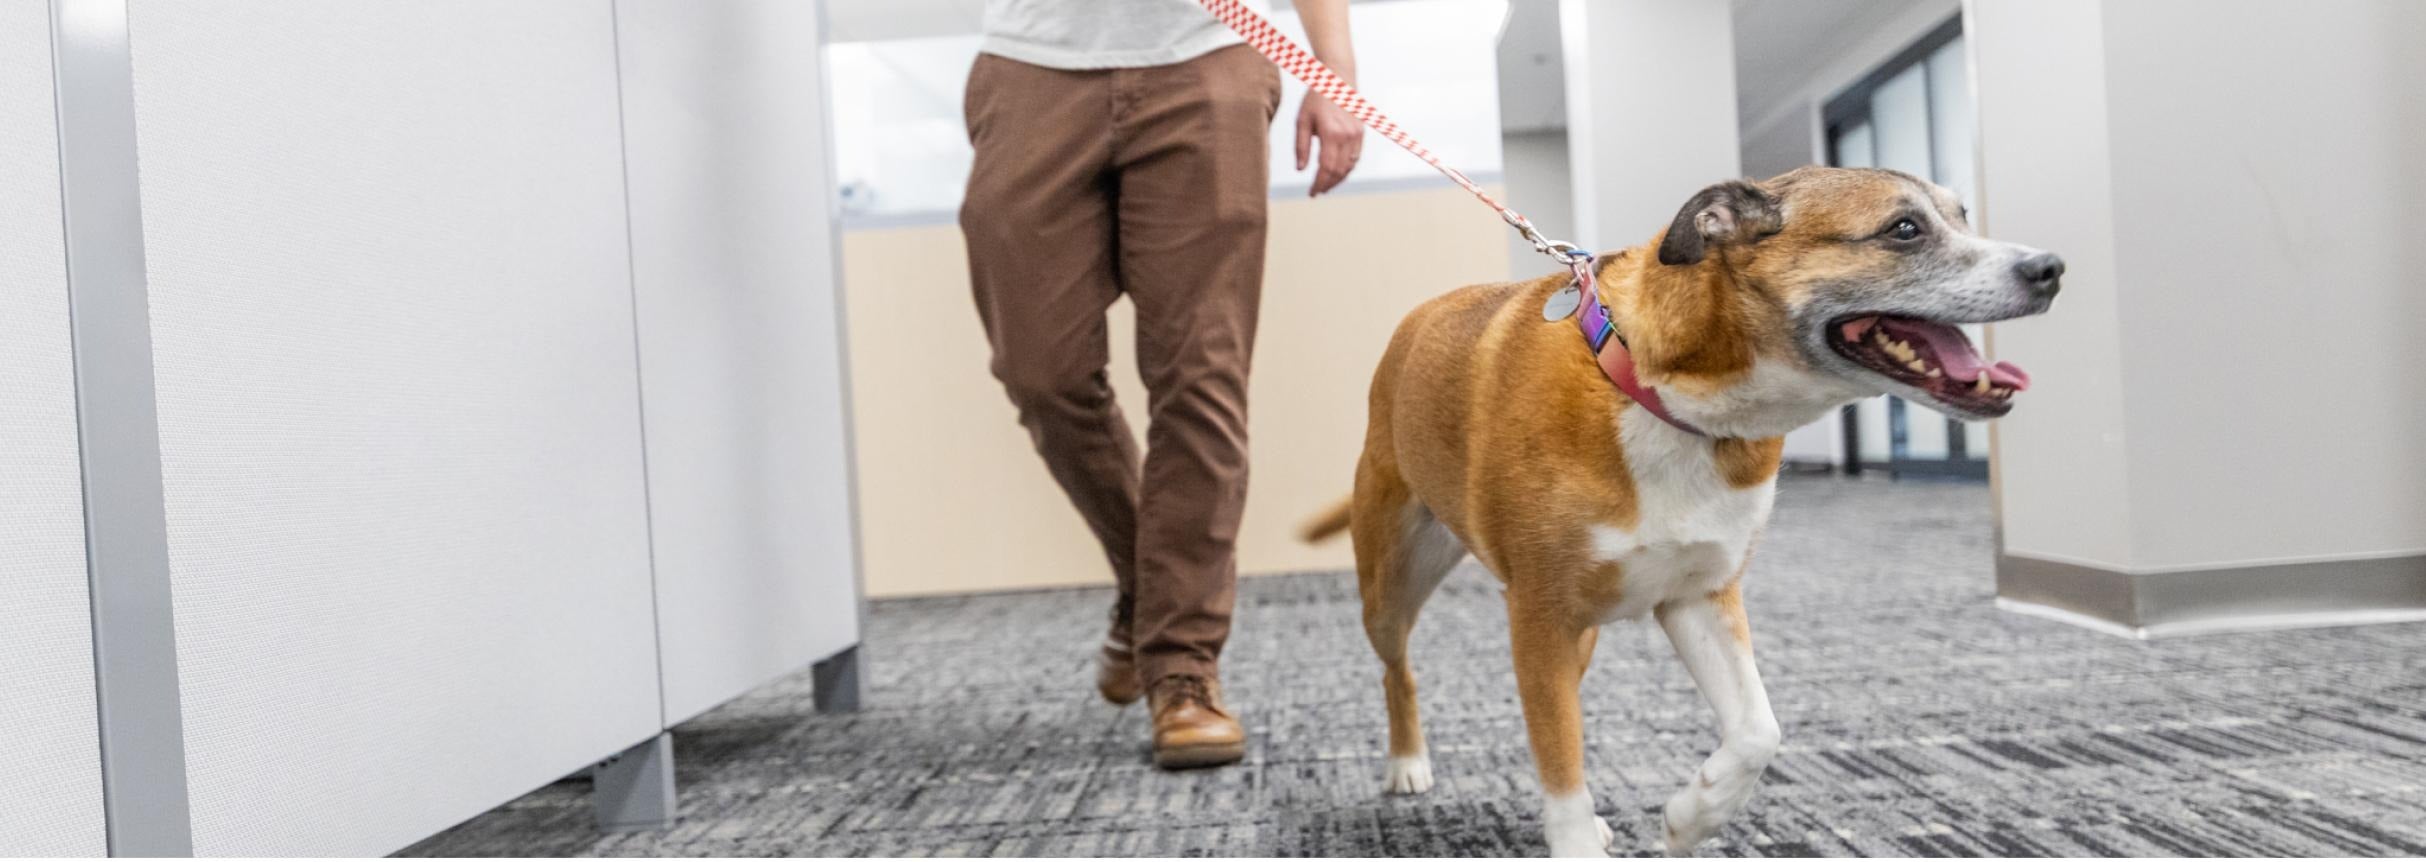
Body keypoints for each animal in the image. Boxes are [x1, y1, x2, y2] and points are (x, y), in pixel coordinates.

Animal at [1310, 168, 2066, 859]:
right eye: (1904, 229)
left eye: (1962, 216)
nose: (2050, 269)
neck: (1666, 400)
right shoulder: (1540, 614)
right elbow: (1561, 762)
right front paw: (1579, 837)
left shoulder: (1698, 595)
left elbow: (1758, 730)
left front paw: (1691, 816)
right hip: (1395, 581)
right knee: (1401, 670)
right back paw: (1408, 763)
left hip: (1577, 636)